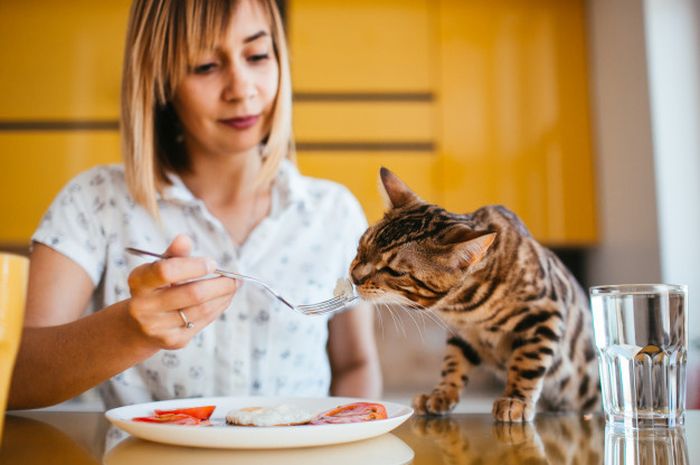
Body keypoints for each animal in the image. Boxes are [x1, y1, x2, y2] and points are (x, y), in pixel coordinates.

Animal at [350, 168, 600, 420]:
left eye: (395, 271)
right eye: (361, 247)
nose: (354, 277)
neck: (463, 307)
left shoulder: (545, 313)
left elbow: (528, 363)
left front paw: (516, 399)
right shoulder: (461, 332)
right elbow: (454, 363)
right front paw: (441, 394)